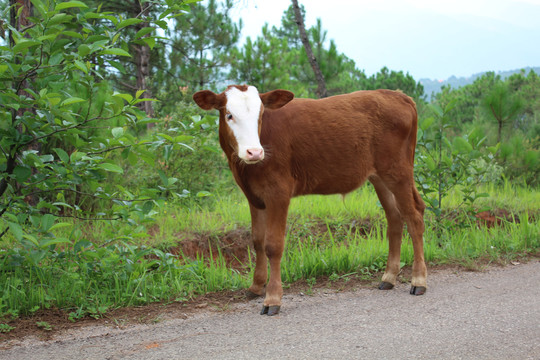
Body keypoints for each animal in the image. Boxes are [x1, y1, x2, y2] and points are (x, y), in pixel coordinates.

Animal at [194, 86, 426, 316]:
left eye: (260, 115)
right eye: (229, 115)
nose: (255, 152)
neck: (245, 170)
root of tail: (397, 94)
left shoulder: (278, 192)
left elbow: (273, 245)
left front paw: (272, 298)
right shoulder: (253, 196)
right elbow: (257, 241)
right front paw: (256, 286)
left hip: (398, 171)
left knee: (414, 218)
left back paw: (419, 280)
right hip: (380, 177)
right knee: (395, 218)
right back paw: (389, 277)